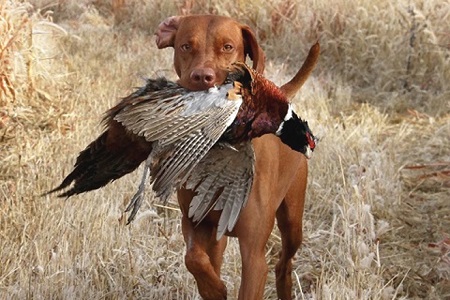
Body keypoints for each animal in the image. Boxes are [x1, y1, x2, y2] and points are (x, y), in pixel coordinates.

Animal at [156, 14, 318, 300]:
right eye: (185, 46)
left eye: (228, 47)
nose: (202, 76)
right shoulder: (195, 223)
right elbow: (193, 258)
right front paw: (214, 288)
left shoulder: (254, 255)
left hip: (292, 221)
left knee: (284, 263)